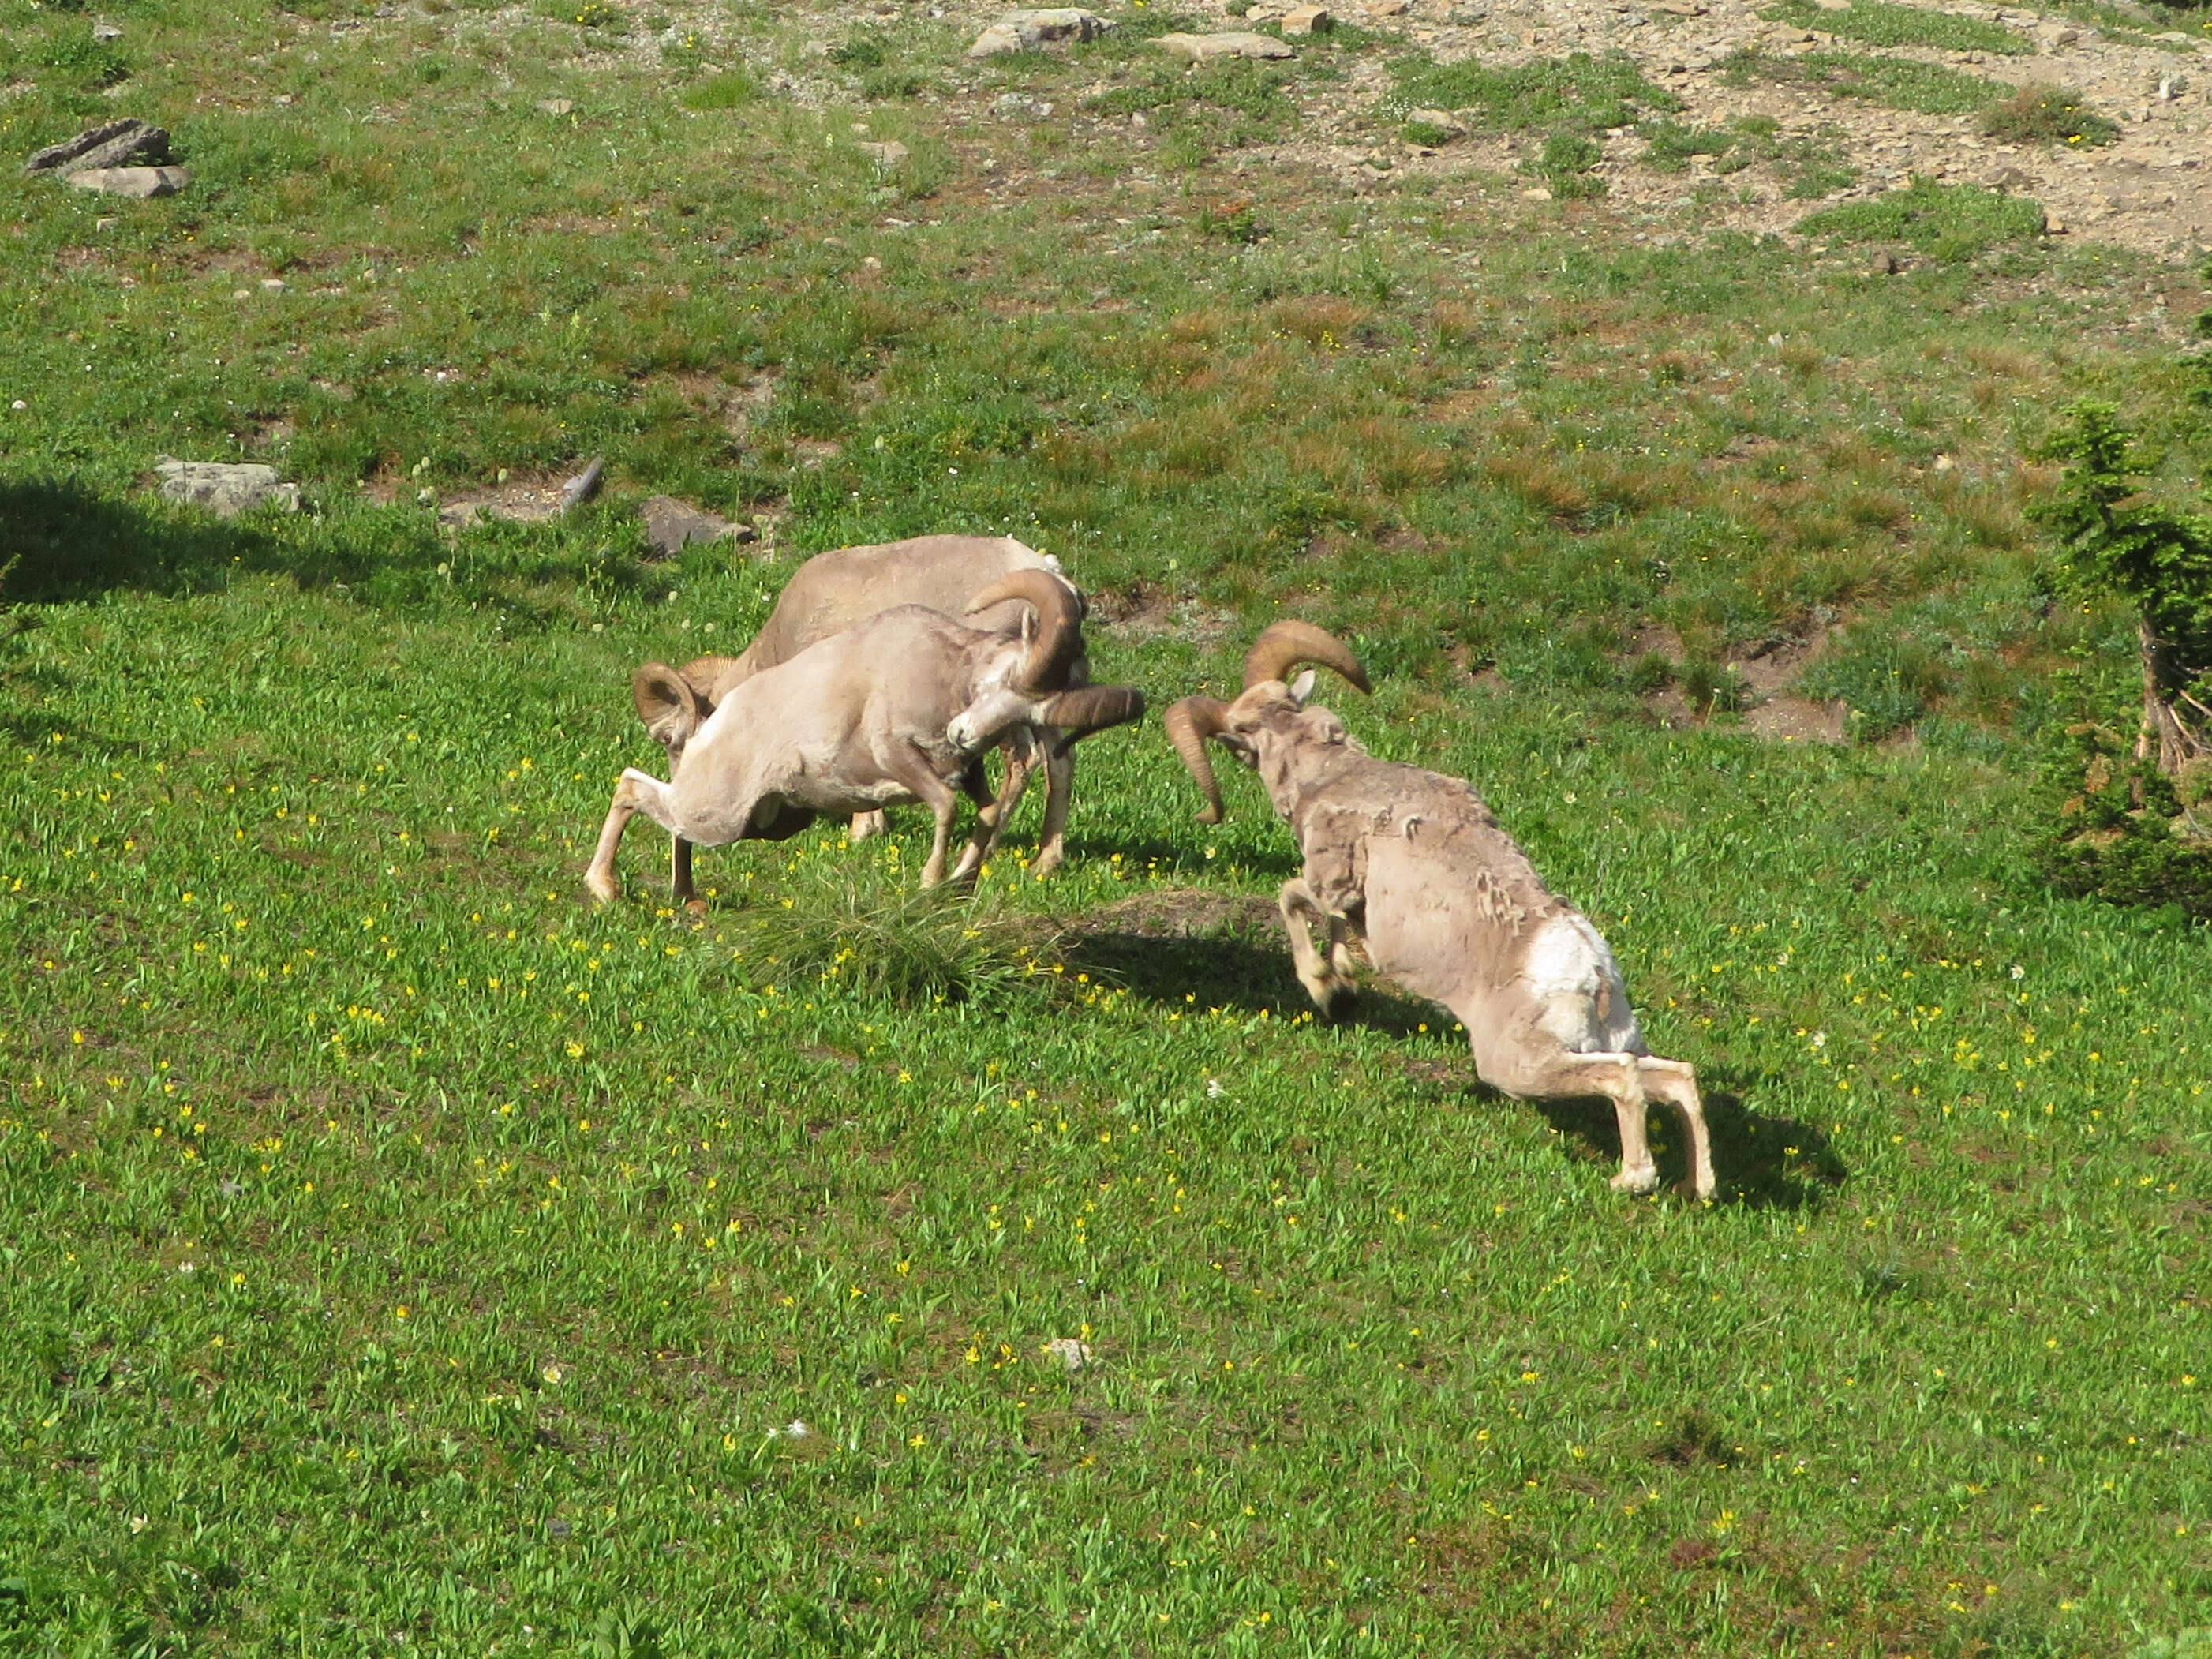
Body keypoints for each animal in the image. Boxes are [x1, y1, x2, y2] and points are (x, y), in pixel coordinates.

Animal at [588, 575, 1141, 911]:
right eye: (996, 681)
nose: (962, 733)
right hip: (719, 818)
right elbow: (945, 807)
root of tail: (712, 727)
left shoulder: (969, 772)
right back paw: (605, 888)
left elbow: (985, 814)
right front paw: (930, 883)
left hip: (765, 823)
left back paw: (688, 897)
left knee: (665, 815)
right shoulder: (899, 758)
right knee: (633, 787)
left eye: (1027, 711)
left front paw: (961, 887)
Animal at [1167, 624, 1716, 1211]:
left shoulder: (1330, 882)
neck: (1333, 778)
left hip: (1524, 1068)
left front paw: (1324, 987)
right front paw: (1343, 985)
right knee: (1677, 1079)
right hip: (1614, 1041)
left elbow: (1291, 897)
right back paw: (1697, 1187)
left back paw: (1630, 1181)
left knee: (1623, 1081)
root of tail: (1587, 972)